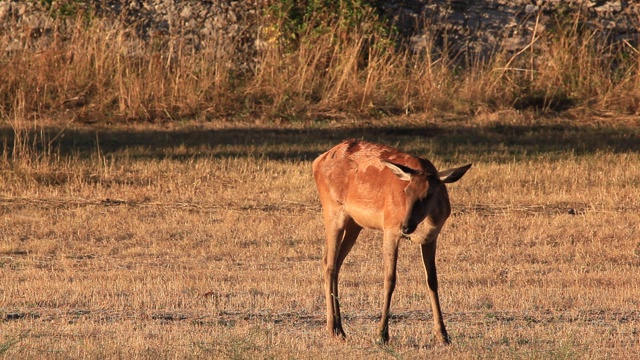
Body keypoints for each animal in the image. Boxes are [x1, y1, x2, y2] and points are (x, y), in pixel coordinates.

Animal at [312, 139, 472, 344]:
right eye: (407, 190)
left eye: (429, 194)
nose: (406, 226)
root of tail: (317, 161)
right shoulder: (389, 228)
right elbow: (390, 279)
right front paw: (382, 334)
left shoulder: (432, 238)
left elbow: (432, 280)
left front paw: (443, 334)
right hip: (332, 209)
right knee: (329, 263)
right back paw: (333, 329)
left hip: (355, 223)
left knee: (336, 263)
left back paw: (340, 328)